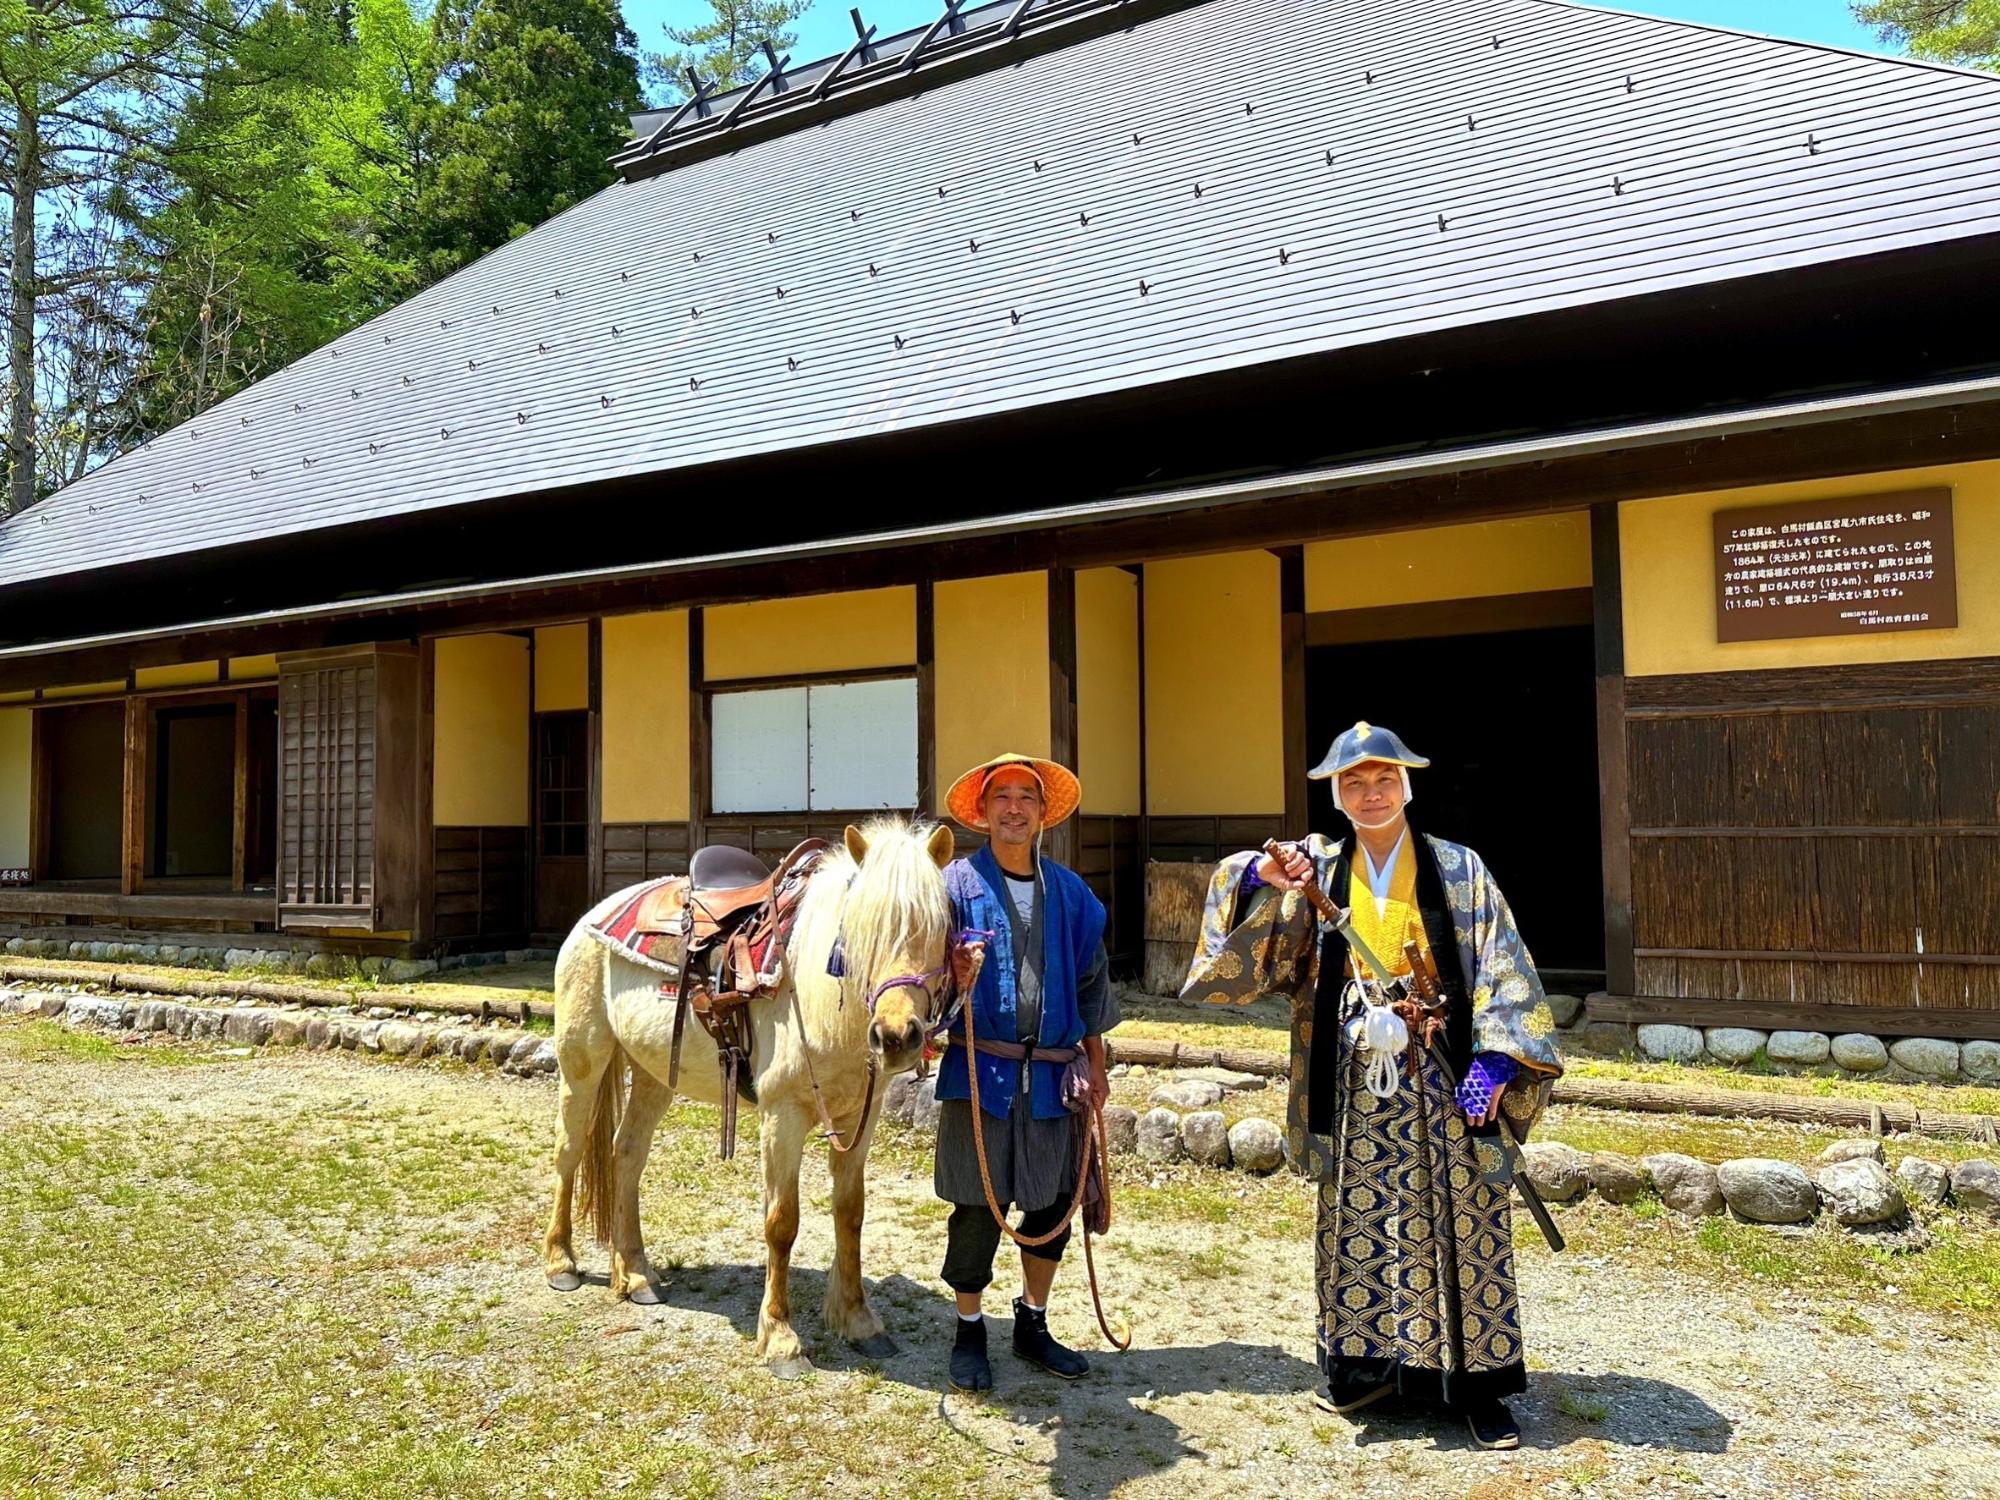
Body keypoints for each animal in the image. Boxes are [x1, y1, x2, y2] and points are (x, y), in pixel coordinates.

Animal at [548, 824, 952, 1376]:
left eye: (940, 926)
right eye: (857, 930)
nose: (896, 1037)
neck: (818, 996)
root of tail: (594, 915)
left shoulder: (859, 1119)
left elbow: (851, 1213)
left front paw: (858, 1321)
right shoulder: (783, 1114)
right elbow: (781, 1223)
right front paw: (781, 1339)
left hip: (653, 1075)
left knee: (626, 1154)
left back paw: (636, 1275)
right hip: (583, 1060)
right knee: (568, 1152)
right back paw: (561, 1263)